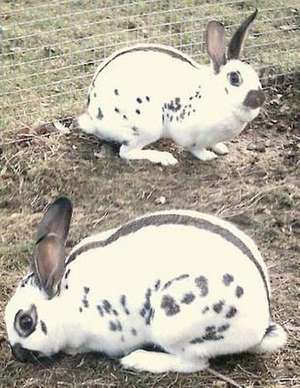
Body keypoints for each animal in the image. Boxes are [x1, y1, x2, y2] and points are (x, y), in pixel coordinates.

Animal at [5, 197, 286, 372]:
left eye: (25, 322)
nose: (17, 355)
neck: (64, 302)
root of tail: (261, 325)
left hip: (173, 324)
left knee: (195, 363)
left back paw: (138, 360)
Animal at [77, 8, 264, 164]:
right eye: (234, 78)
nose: (260, 98)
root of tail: (94, 118)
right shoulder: (189, 135)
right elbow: (196, 149)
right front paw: (208, 156)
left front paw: (221, 148)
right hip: (146, 128)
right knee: (126, 152)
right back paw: (165, 158)